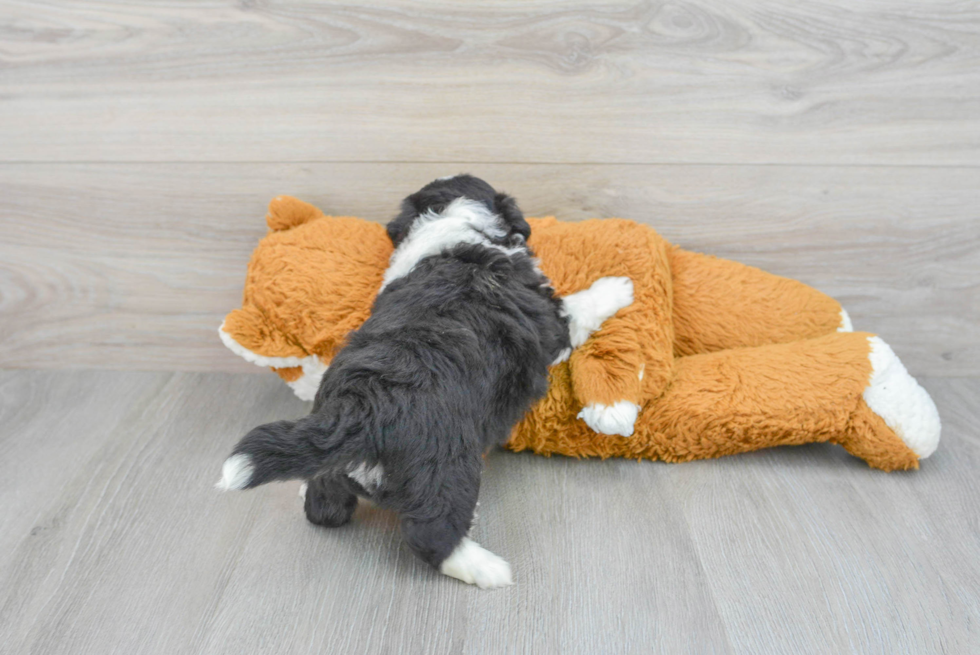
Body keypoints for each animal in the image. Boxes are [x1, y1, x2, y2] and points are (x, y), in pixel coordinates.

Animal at [216, 176, 636, 588]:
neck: (454, 227)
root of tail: (362, 406)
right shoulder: (553, 322)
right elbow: (582, 305)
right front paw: (618, 285)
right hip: (445, 467)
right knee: (432, 533)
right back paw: (487, 568)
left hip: (336, 466)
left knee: (324, 507)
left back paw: (311, 491)